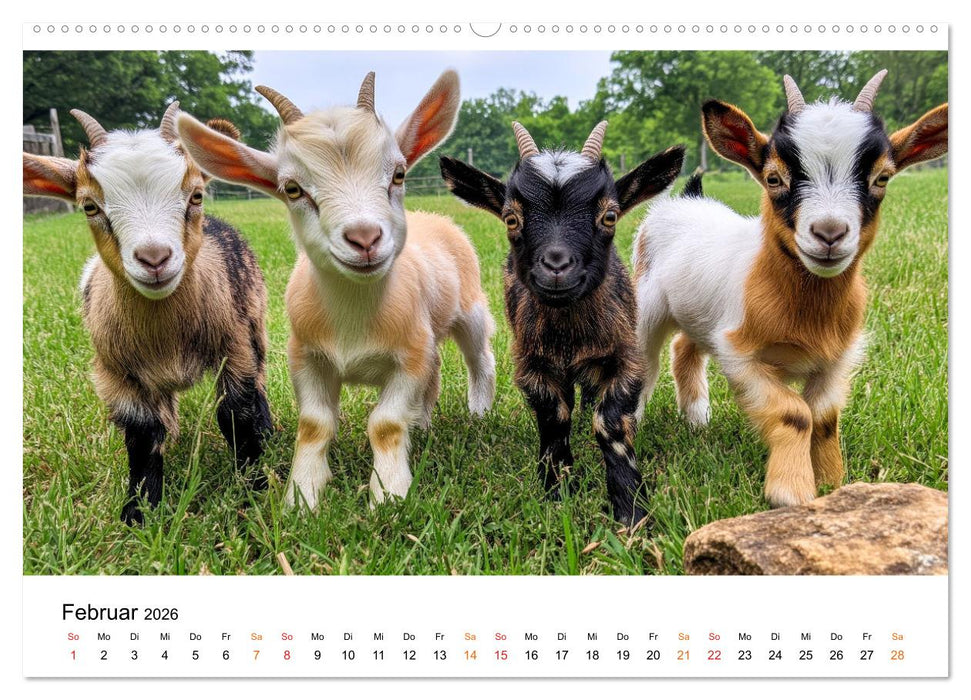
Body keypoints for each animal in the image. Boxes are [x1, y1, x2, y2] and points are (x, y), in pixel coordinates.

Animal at [23, 103, 272, 524]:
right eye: (89, 205)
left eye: (196, 195)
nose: (154, 259)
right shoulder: (115, 372)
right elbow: (142, 434)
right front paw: (140, 511)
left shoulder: (234, 346)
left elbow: (236, 413)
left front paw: (256, 487)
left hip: (255, 319)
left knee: (261, 376)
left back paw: (268, 428)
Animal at [176, 71, 496, 509]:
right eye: (293, 188)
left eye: (398, 174)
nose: (364, 238)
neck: (354, 318)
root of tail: (433, 217)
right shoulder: (305, 356)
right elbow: (315, 424)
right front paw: (303, 496)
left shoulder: (409, 357)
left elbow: (385, 424)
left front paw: (390, 495)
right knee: (434, 374)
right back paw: (423, 425)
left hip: (471, 310)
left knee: (480, 358)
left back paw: (478, 412)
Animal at [440, 122, 685, 525]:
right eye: (511, 218)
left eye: (610, 216)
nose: (556, 266)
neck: (570, 335)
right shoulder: (531, 363)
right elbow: (555, 419)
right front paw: (558, 489)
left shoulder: (626, 357)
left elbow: (609, 422)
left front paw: (630, 508)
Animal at [633, 71, 948, 507]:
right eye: (773, 178)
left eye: (882, 178)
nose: (829, 233)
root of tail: (687, 196)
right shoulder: (741, 355)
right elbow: (794, 413)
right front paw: (791, 492)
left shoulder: (836, 359)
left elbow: (824, 418)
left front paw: (833, 483)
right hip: (647, 304)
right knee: (645, 362)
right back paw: (632, 423)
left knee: (684, 349)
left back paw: (697, 420)